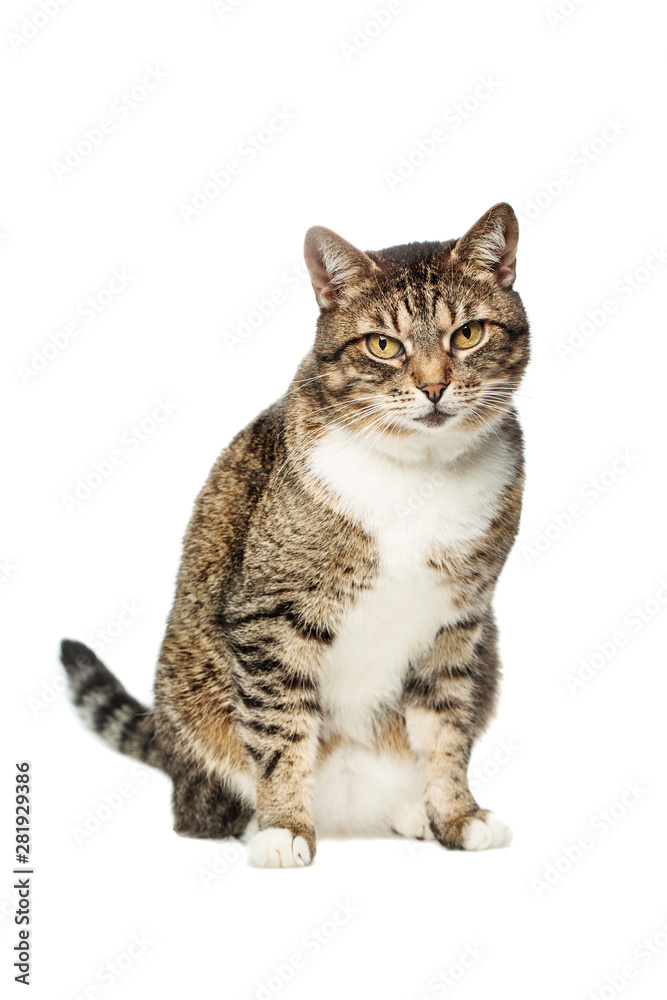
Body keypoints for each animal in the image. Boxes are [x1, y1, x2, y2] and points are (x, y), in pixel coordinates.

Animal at [64, 201, 532, 868]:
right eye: (384, 345)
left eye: (467, 334)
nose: (434, 387)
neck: (419, 473)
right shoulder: (269, 614)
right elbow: (280, 727)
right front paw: (284, 824)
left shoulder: (459, 622)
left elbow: (447, 729)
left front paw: (456, 814)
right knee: (201, 803)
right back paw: (250, 819)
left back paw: (411, 810)